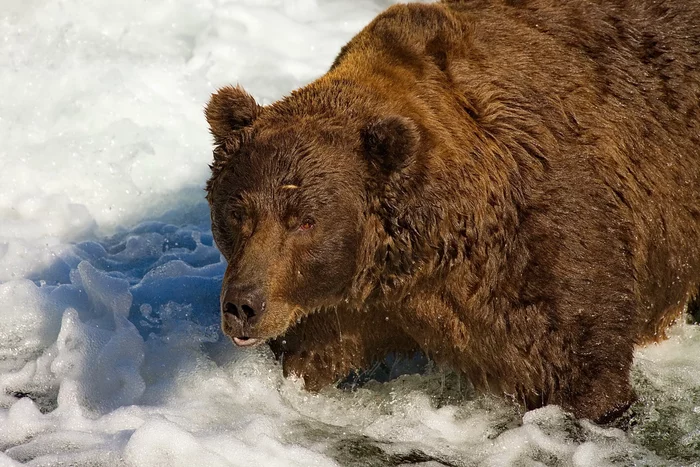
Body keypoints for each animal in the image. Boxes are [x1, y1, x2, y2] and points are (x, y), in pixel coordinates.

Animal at [202, 0, 700, 424]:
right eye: (237, 212)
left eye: (304, 220)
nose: (243, 305)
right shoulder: (338, 307)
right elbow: (307, 355)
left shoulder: (538, 245)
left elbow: (578, 360)